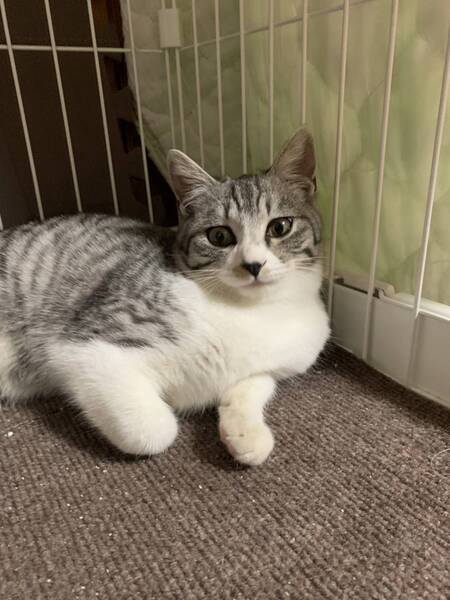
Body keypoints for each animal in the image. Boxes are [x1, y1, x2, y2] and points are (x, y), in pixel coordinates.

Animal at [0, 128, 329, 466]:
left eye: (280, 227)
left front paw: (245, 433)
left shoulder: (279, 362)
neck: (252, 310)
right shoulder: (85, 346)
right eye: (219, 236)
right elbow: (155, 431)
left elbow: (253, 384)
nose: (253, 264)